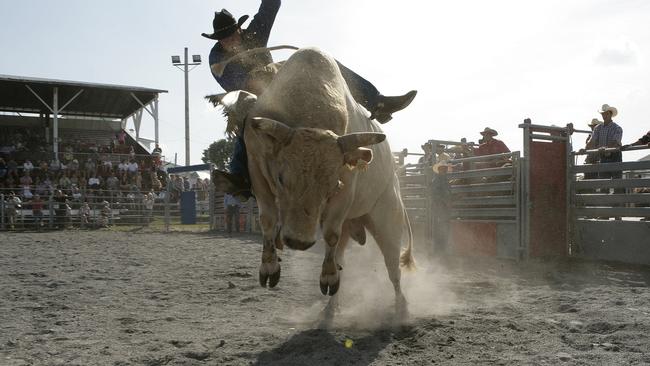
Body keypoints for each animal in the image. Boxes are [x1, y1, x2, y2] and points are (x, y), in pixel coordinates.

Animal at [208, 46, 412, 318]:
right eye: (281, 178)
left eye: (333, 185)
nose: (298, 242)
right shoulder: (257, 168)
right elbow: (268, 220)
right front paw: (269, 268)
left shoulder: (346, 187)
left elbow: (331, 233)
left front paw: (326, 278)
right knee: (341, 260)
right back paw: (330, 309)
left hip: (388, 219)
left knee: (393, 270)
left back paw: (401, 308)